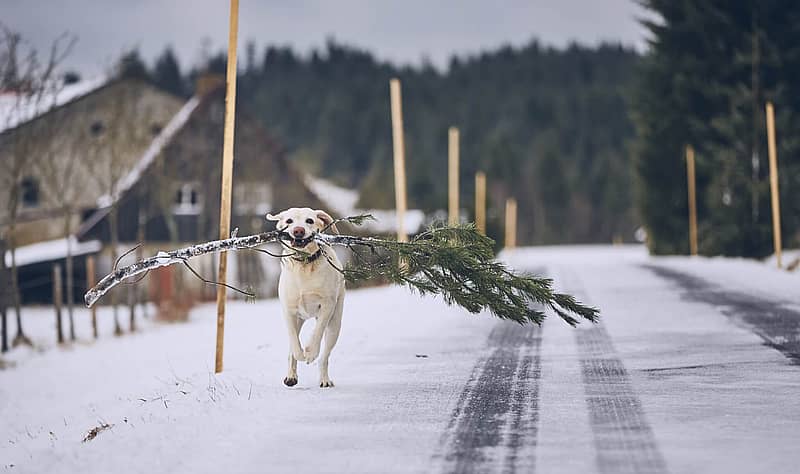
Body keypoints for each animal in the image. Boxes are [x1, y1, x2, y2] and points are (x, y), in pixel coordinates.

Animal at [268, 207, 346, 388]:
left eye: (309, 221)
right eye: (289, 221)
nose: (298, 231)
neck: (304, 264)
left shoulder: (327, 306)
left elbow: (317, 332)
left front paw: (310, 353)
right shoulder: (288, 311)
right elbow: (294, 342)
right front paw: (301, 354)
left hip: (335, 325)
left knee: (324, 357)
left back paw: (324, 379)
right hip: (299, 319)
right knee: (292, 346)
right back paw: (291, 376)